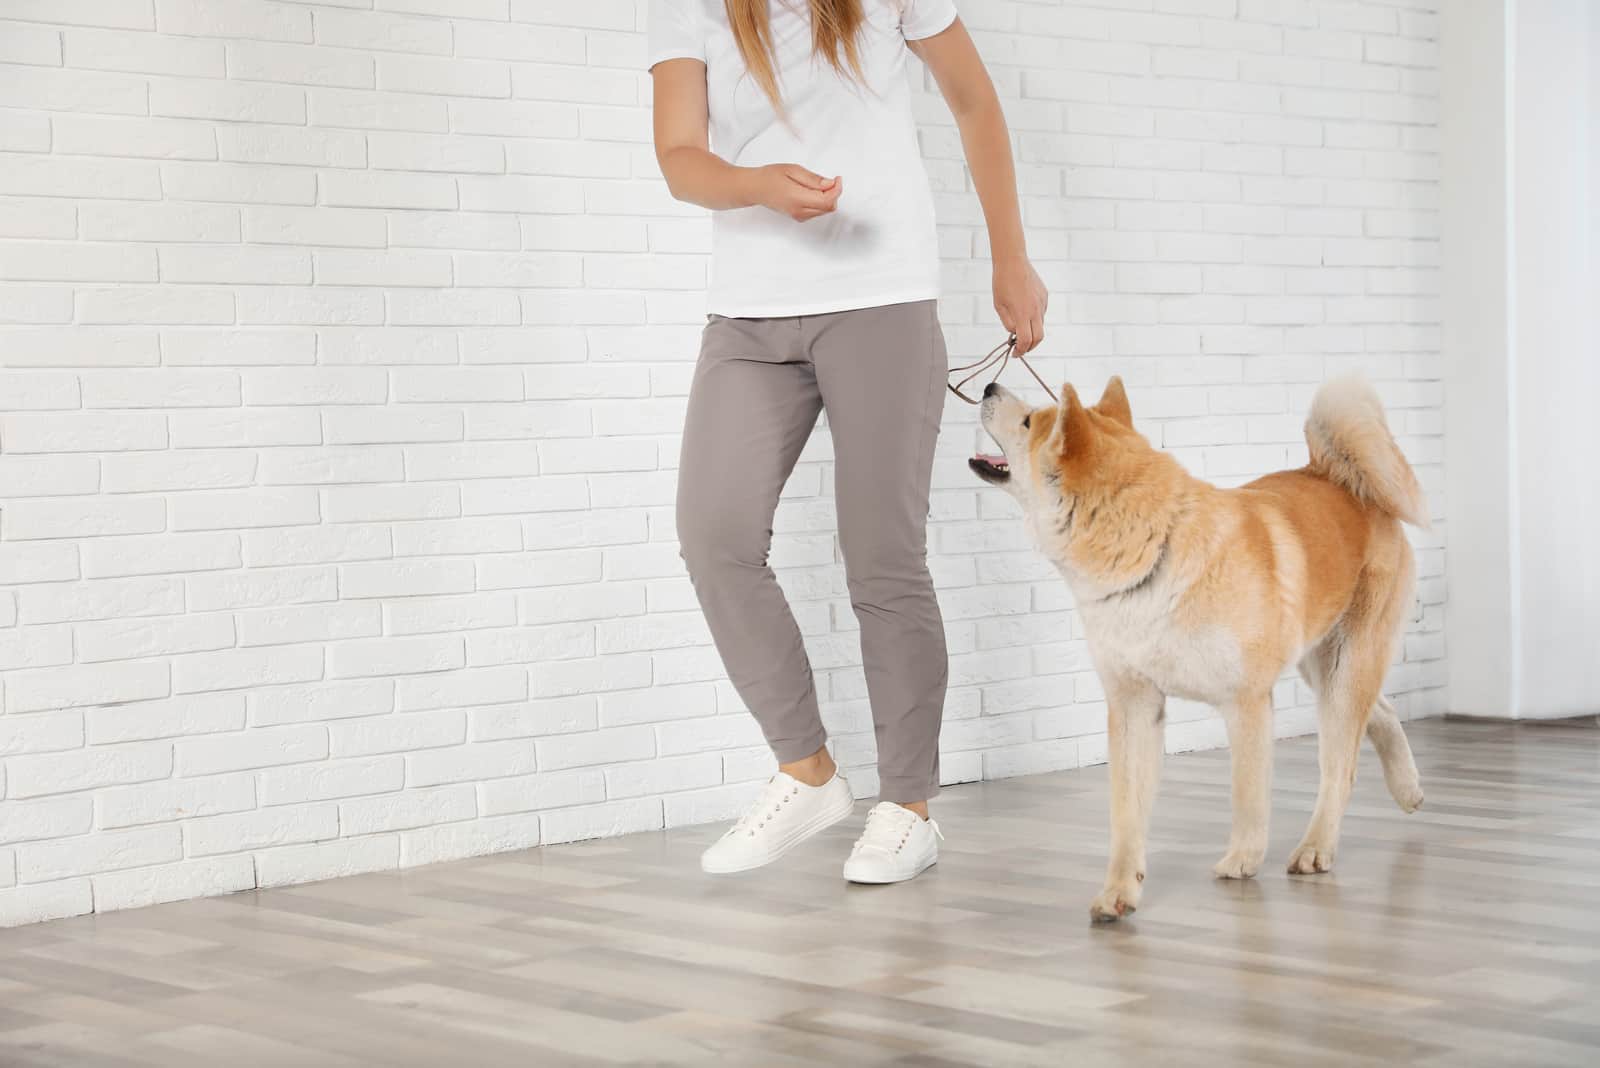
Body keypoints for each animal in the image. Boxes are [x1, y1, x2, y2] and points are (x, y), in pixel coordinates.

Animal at [966, 374, 1433, 920]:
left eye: (1028, 421)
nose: (989, 385)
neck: (1153, 552)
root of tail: (1337, 477)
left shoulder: (1246, 702)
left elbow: (1247, 794)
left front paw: (1243, 859)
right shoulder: (1133, 705)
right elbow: (1126, 812)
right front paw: (1119, 890)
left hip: (1343, 667)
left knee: (1340, 765)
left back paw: (1317, 847)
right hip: (1321, 664)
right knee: (1380, 713)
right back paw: (1408, 788)